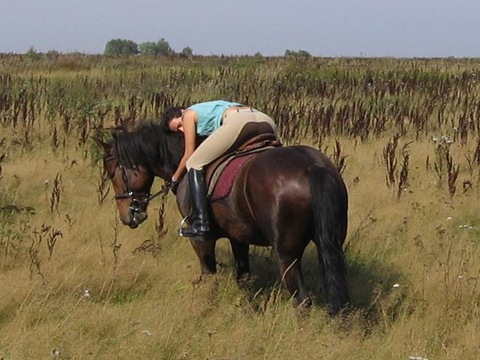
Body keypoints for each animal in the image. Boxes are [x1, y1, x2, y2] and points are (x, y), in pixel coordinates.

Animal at [97, 121, 350, 316]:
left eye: (112, 173)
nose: (127, 217)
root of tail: (312, 167)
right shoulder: (239, 237)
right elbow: (243, 278)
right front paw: (248, 310)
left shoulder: (201, 240)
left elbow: (209, 277)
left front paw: (207, 309)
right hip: (330, 244)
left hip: (286, 254)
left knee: (302, 301)